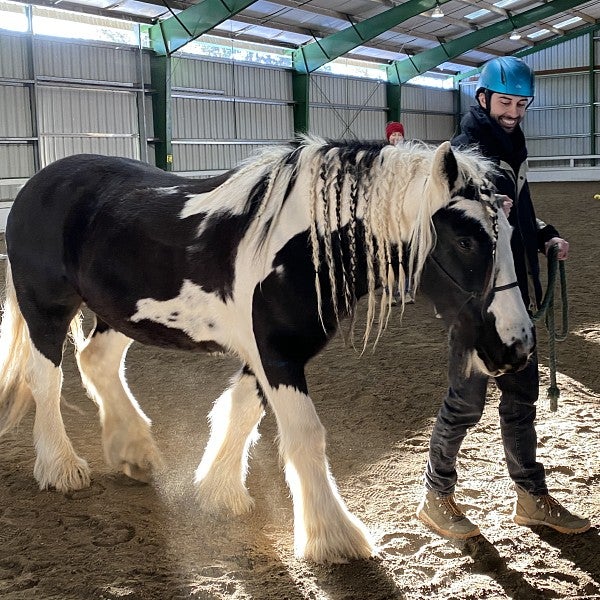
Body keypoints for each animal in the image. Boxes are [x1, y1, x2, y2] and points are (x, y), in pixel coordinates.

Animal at [0, 138, 536, 564]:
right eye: (465, 240)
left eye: (512, 234)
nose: (517, 346)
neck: (305, 246)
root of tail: (35, 184)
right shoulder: (277, 354)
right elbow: (304, 435)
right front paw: (332, 536)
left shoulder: (270, 354)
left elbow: (240, 411)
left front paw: (217, 491)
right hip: (47, 308)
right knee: (47, 379)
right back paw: (61, 467)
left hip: (121, 313)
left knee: (97, 362)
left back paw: (133, 451)